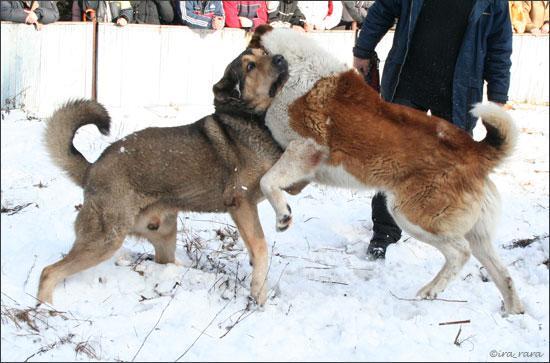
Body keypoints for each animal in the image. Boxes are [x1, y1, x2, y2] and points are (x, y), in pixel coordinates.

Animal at [36, 48, 292, 308]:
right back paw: (45, 307)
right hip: (105, 239)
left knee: (162, 261)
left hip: (164, 234)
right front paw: (259, 293)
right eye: (250, 67)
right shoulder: (240, 201)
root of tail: (91, 169)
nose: (281, 58)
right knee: (49, 271)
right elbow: (260, 247)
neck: (250, 118)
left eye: (265, 53)